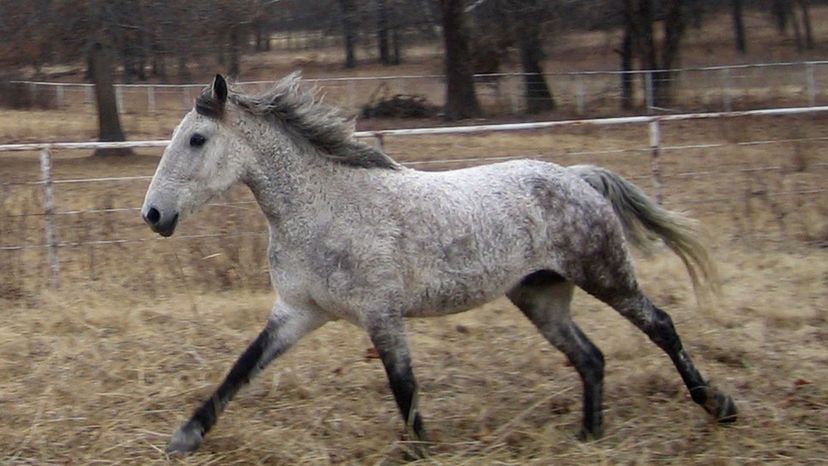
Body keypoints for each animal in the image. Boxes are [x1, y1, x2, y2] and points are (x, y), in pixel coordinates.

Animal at [142, 73, 736, 456]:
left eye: (197, 139)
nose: (153, 215)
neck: (325, 208)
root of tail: (576, 177)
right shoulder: (297, 312)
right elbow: (242, 368)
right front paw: (185, 438)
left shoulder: (381, 315)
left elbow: (404, 388)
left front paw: (421, 450)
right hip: (540, 296)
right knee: (590, 357)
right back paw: (589, 436)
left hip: (605, 274)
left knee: (661, 325)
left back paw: (719, 405)